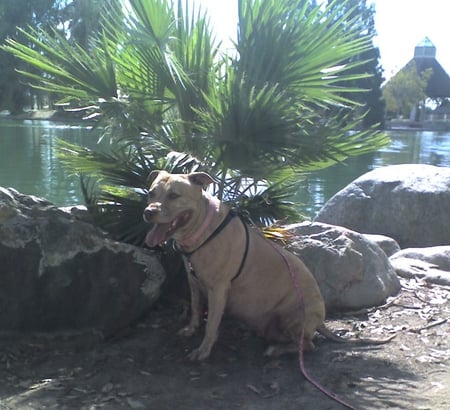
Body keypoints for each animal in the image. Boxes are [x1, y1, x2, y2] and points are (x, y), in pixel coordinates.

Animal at [144, 170, 394, 358]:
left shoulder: (218, 289)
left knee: (308, 345)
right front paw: (190, 329)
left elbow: (211, 323)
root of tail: (320, 321)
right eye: (151, 193)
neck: (204, 228)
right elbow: (196, 309)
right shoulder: (194, 282)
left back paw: (276, 350)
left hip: (294, 317)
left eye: (174, 195)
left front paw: (203, 350)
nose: (148, 212)